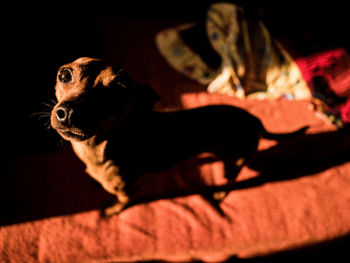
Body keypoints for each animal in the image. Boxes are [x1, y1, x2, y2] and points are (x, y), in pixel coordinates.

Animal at [50, 56, 308, 216]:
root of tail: (254, 119)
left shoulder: (126, 190)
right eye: (64, 75)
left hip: (234, 161)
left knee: (231, 179)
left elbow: (123, 201)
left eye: (120, 89)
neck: (98, 146)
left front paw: (113, 210)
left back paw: (220, 193)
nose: (68, 112)